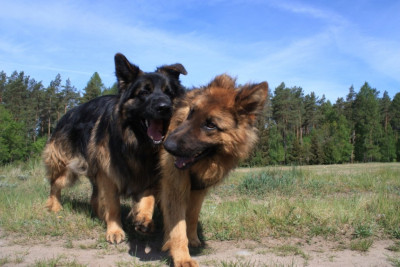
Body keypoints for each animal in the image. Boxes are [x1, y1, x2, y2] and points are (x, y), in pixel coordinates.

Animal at [43, 54, 187, 245]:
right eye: (144, 92)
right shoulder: (109, 176)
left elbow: (148, 198)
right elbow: (113, 206)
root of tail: (67, 113)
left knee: (94, 198)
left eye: (169, 93)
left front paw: (143, 218)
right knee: (55, 184)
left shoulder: (149, 176)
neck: (137, 144)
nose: (164, 107)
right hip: (68, 170)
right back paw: (55, 206)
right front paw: (115, 230)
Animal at [159, 74, 268, 266]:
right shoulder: (174, 188)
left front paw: (191, 239)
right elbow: (177, 226)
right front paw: (182, 257)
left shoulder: (198, 190)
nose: (166, 146)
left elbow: (191, 216)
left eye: (211, 125)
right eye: (191, 112)